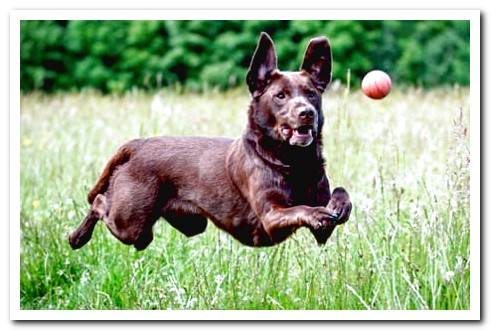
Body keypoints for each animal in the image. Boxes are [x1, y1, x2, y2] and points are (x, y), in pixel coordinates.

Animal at [70, 33, 354, 252]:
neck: (293, 162)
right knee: (99, 203)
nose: (307, 112)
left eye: (311, 94)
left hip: (170, 227)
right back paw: (76, 237)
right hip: (130, 221)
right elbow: (301, 209)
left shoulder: (322, 232)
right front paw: (318, 212)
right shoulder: (270, 217)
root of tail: (138, 144)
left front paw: (339, 206)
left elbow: (341, 193)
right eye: (280, 96)